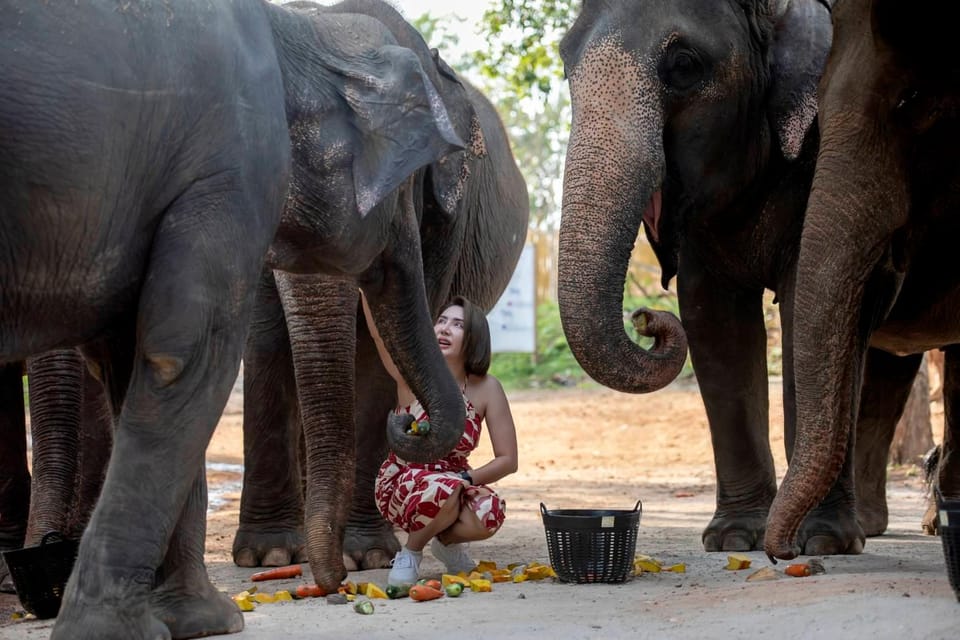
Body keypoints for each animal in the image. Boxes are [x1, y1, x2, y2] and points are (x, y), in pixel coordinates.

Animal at [0, 1, 480, 636]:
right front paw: (140, 628)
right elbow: (188, 354)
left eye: (415, 190)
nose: (332, 587)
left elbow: (137, 364)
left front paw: (195, 619)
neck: (294, 28)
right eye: (399, 188)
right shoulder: (230, 172)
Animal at [232, 0, 532, 584]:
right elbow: (265, 342)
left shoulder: (442, 223)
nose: (408, 421)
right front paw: (268, 555)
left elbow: (377, 354)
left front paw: (365, 556)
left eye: (402, 180)